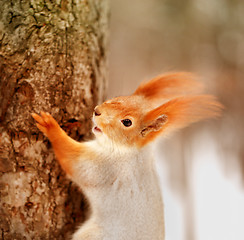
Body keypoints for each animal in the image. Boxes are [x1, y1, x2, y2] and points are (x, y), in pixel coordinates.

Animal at [31, 72, 222, 240]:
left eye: (127, 122)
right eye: (117, 97)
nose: (97, 111)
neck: (131, 151)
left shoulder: (104, 167)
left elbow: (72, 159)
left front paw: (50, 126)